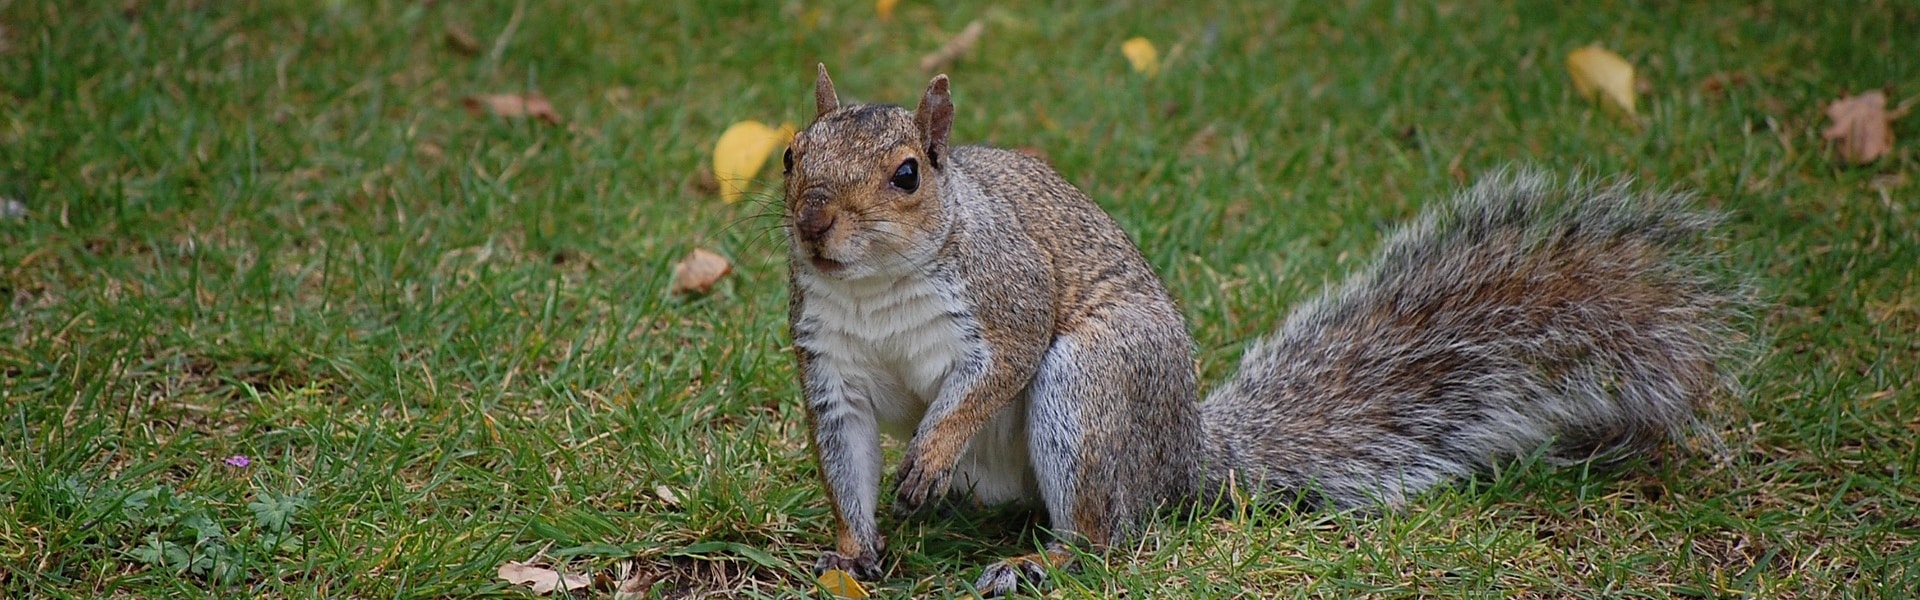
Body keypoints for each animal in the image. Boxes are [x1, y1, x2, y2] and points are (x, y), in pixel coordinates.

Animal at [775, 65, 1743, 596]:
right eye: (790, 154)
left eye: (907, 174)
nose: (813, 222)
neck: (874, 286)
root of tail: (1182, 456)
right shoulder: (830, 368)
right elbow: (846, 461)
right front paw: (852, 555)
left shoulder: (1007, 297)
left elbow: (992, 373)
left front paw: (930, 455)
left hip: (1092, 388)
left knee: (1107, 534)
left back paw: (1040, 564)